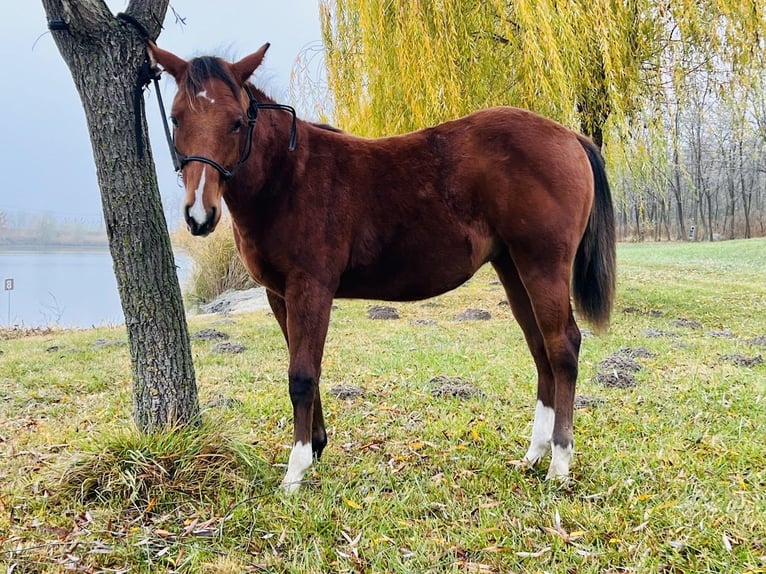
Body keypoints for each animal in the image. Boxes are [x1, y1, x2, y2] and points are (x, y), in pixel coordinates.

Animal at [148, 42, 616, 493]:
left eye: (236, 122)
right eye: (175, 118)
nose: (199, 215)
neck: (288, 178)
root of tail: (570, 136)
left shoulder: (310, 288)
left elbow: (302, 374)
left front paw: (295, 472)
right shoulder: (279, 293)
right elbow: (305, 366)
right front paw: (315, 447)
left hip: (543, 264)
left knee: (562, 347)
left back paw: (559, 464)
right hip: (513, 266)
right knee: (540, 350)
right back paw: (534, 454)